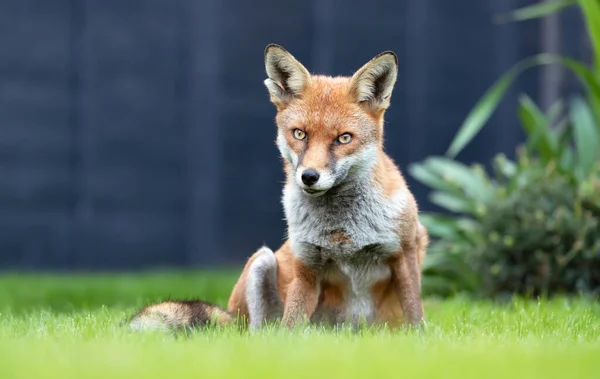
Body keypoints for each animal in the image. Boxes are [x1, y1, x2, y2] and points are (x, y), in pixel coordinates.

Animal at [127, 44, 426, 334]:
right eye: (299, 134)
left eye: (344, 138)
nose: (309, 176)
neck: (343, 230)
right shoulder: (306, 265)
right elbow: (290, 328)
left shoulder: (405, 253)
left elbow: (416, 315)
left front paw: (419, 341)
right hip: (260, 263)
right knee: (260, 334)